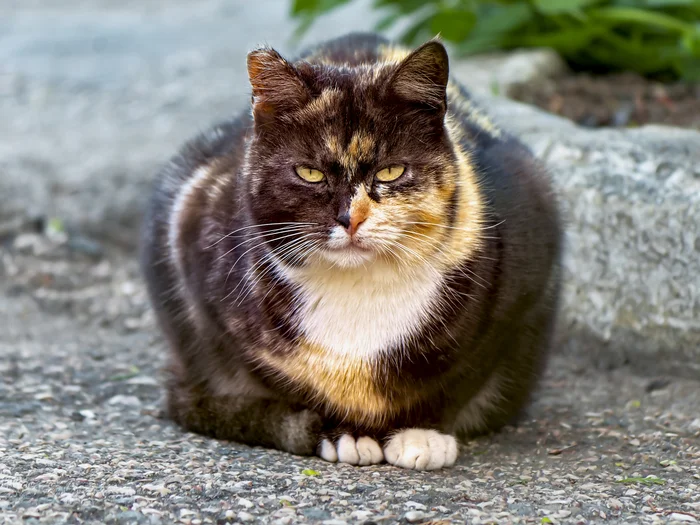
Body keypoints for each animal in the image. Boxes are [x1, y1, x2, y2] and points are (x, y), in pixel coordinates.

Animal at [141, 30, 564, 468]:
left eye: (391, 171)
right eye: (309, 173)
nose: (351, 218)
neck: (360, 291)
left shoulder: (526, 256)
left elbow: (460, 374)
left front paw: (421, 435)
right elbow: (288, 381)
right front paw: (347, 433)